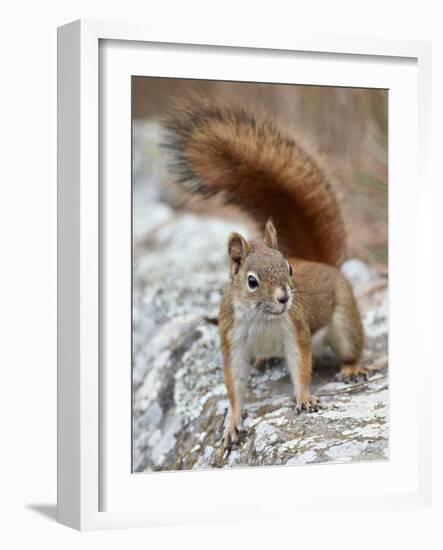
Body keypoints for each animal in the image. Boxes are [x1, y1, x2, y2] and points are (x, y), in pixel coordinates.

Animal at [161, 98, 366, 452]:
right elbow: (234, 384)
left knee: (350, 345)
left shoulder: (296, 329)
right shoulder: (232, 340)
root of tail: (324, 264)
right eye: (252, 281)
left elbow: (301, 366)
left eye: (289, 269)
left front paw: (304, 398)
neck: (262, 319)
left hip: (344, 322)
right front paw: (232, 423)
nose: (284, 297)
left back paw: (351, 367)